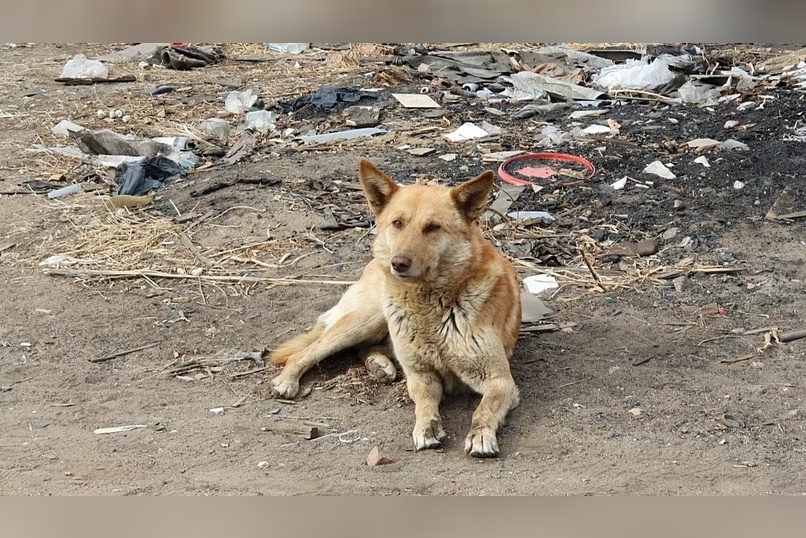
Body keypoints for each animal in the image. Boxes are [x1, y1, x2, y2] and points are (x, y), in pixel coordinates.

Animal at [272, 159, 524, 456]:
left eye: (433, 227)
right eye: (398, 223)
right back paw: (288, 380)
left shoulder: (500, 381)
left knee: (365, 348)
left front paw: (481, 434)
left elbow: (483, 409)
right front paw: (426, 427)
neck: (432, 304)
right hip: (368, 318)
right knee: (307, 352)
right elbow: (424, 403)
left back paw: (379, 364)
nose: (398, 263)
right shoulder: (421, 376)